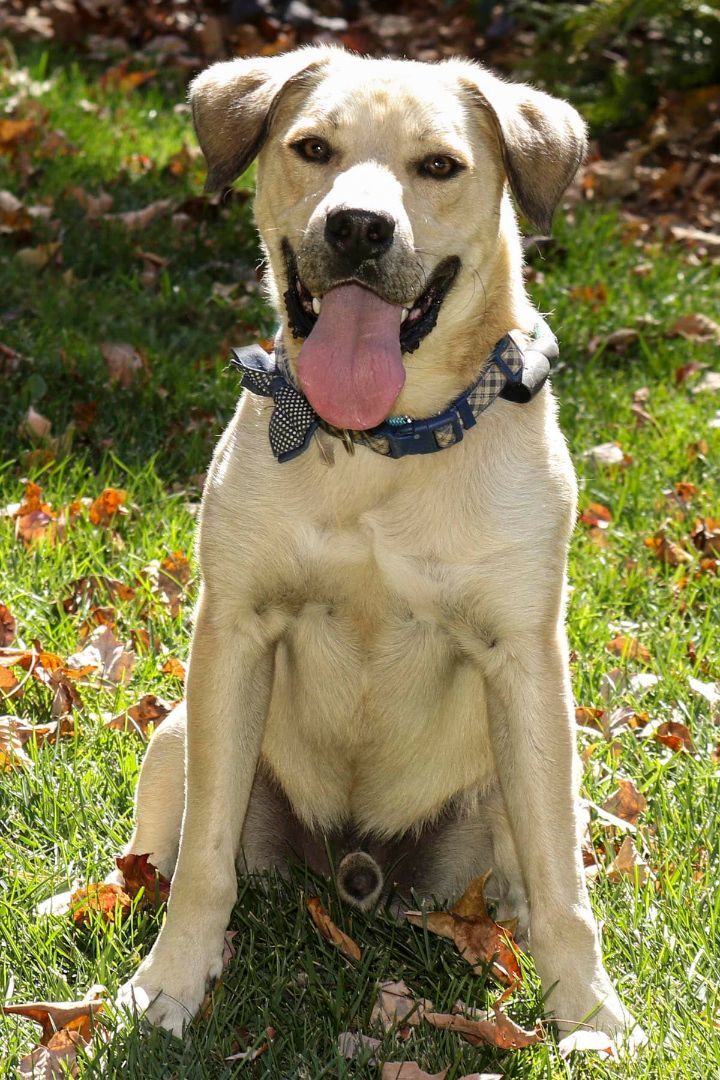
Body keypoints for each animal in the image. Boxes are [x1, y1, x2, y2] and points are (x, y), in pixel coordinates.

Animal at [115, 48, 643, 1045]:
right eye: (313, 148)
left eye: (438, 166)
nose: (358, 227)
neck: (380, 450)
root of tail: (357, 872)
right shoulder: (235, 630)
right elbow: (205, 860)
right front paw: (169, 983)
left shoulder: (524, 658)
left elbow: (566, 887)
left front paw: (591, 1013)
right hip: (177, 734)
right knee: (163, 850)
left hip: (537, 774)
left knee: (535, 867)